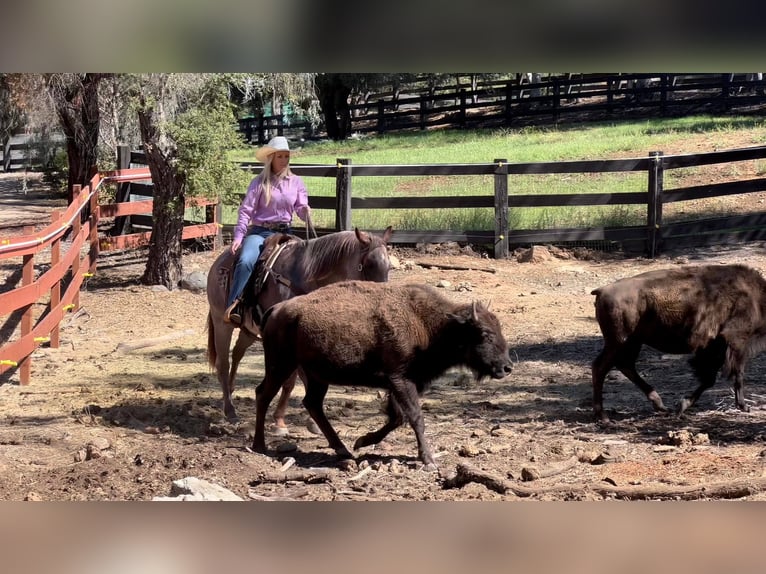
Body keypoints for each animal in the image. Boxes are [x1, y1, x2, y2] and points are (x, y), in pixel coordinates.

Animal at [206, 228, 396, 428]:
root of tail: (219, 262)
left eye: (389, 266)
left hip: (249, 330)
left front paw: (312, 422)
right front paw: (280, 420)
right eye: (368, 264)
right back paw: (230, 410)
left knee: (237, 353)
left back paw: (231, 391)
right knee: (223, 364)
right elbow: (291, 380)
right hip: (221, 323)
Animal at [254, 282, 516, 470]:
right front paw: (429, 460)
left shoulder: (403, 383)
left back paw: (342, 449)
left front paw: (362, 441)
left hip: (316, 375)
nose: (506, 367)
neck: (428, 324)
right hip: (281, 365)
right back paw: (260, 446)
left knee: (312, 403)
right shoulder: (400, 380)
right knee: (264, 394)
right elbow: (415, 417)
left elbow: (397, 417)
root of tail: (276, 310)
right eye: (485, 334)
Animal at [592, 266, 766, 424]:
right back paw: (603, 417)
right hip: (619, 343)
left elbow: (711, 379)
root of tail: (602, 290)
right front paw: (743, 406)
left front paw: (682, 405)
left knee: (625, 366)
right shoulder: (736, 342)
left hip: (632, 343)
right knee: (601, 367)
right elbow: (735, 374)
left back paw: (660, 406)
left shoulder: (717, 347)